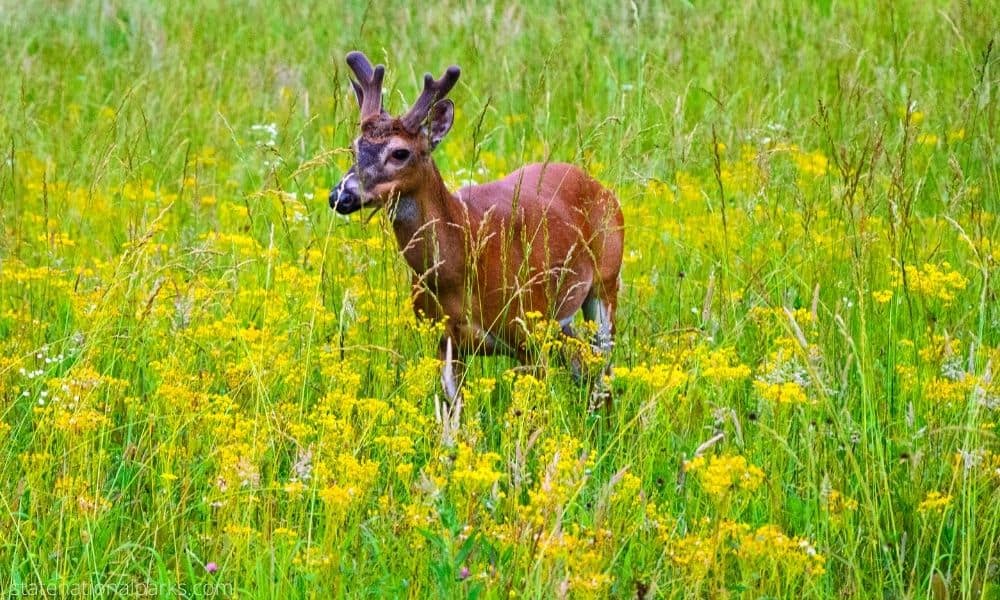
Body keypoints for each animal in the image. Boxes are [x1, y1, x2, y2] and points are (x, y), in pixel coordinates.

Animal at [332, 50, 620, 426]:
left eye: (399, 152)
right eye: (355, 147)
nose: (340, 195)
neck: (462, 261)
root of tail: (599, 185)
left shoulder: (527, 329)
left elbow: (529, 419)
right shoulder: (444, 341)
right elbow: (454, 422)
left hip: (606, 283)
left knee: (604, 366)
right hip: (560, 321)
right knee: (582, 364)